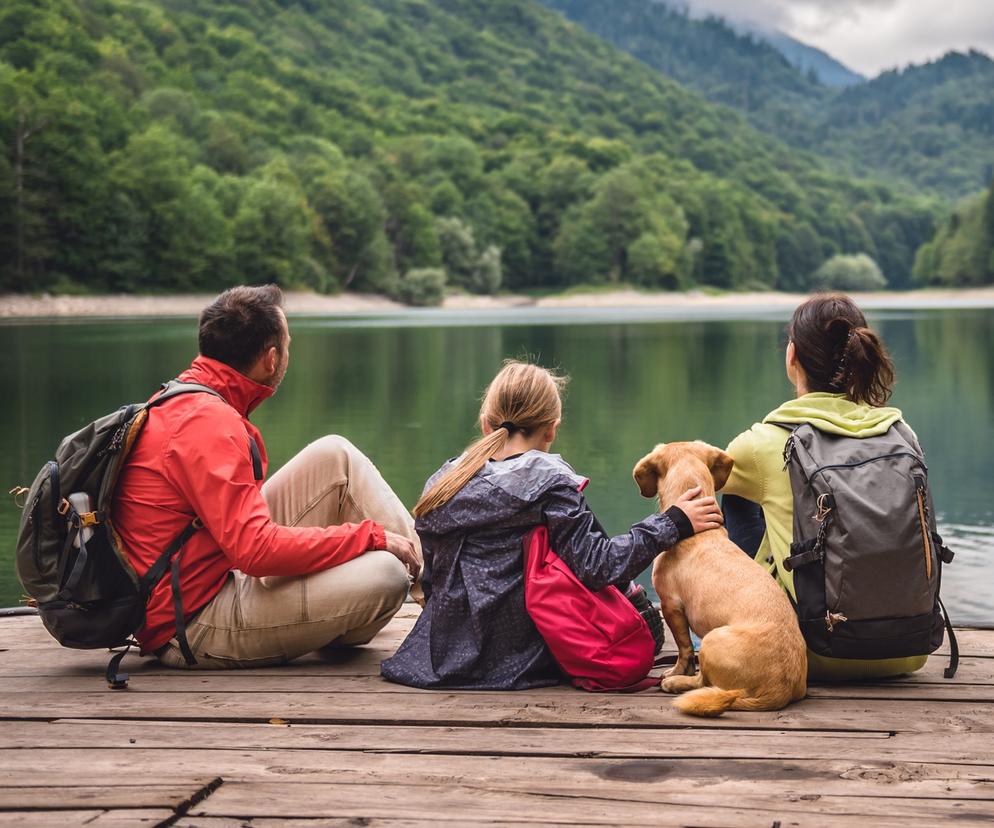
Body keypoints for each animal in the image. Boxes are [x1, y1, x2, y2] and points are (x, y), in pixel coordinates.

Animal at [636, 440, 808, 720]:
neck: (699, 532)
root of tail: (778, 689)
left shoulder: (671, 606)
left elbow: (684, 649)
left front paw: (675, 672)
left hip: (711, 640)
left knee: (702, 681)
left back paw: (675, 683)